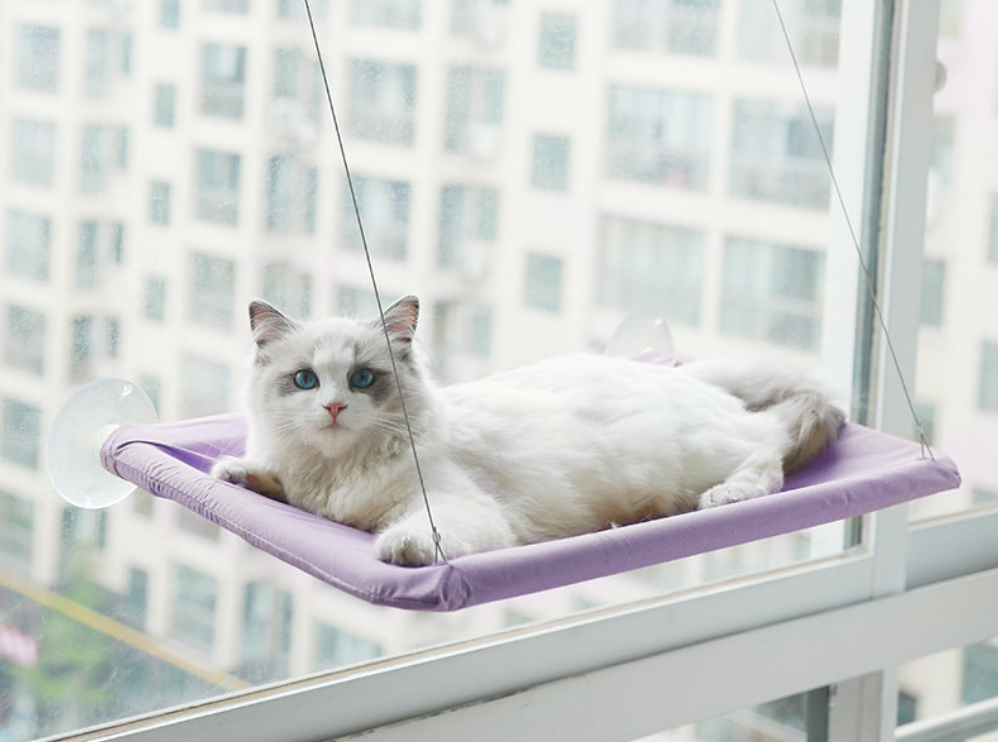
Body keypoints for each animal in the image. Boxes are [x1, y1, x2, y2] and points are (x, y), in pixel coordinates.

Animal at [211, 296, 844, 568]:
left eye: (363, 378)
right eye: (306, 380)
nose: (336, 407)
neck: (337, 472)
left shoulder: (457, 508)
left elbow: (418, 532)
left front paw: (400, 547)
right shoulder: (307, 489)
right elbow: (276, 482)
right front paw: (236, 473)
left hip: (705, 452)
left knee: (769, 450)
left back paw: (727, 495)